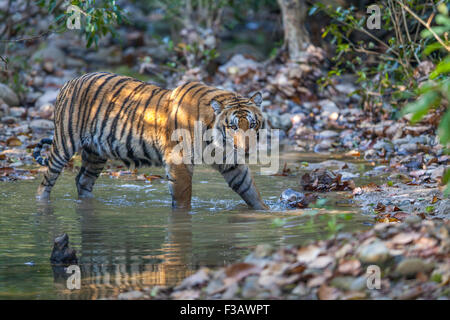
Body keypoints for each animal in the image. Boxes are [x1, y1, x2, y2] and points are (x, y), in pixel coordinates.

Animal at [34, 72, 270, 210]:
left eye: (252, 124)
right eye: (233, 126)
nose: (246, 149)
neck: (216, 140)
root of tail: (70, 81)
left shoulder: (231, 162)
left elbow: (250, 189)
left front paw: (266, 212)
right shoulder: (179, 161)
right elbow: (183, 199)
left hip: (96, 152)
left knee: (83, 180)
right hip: (65, 143)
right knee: (47, 180)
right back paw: (41, 204)